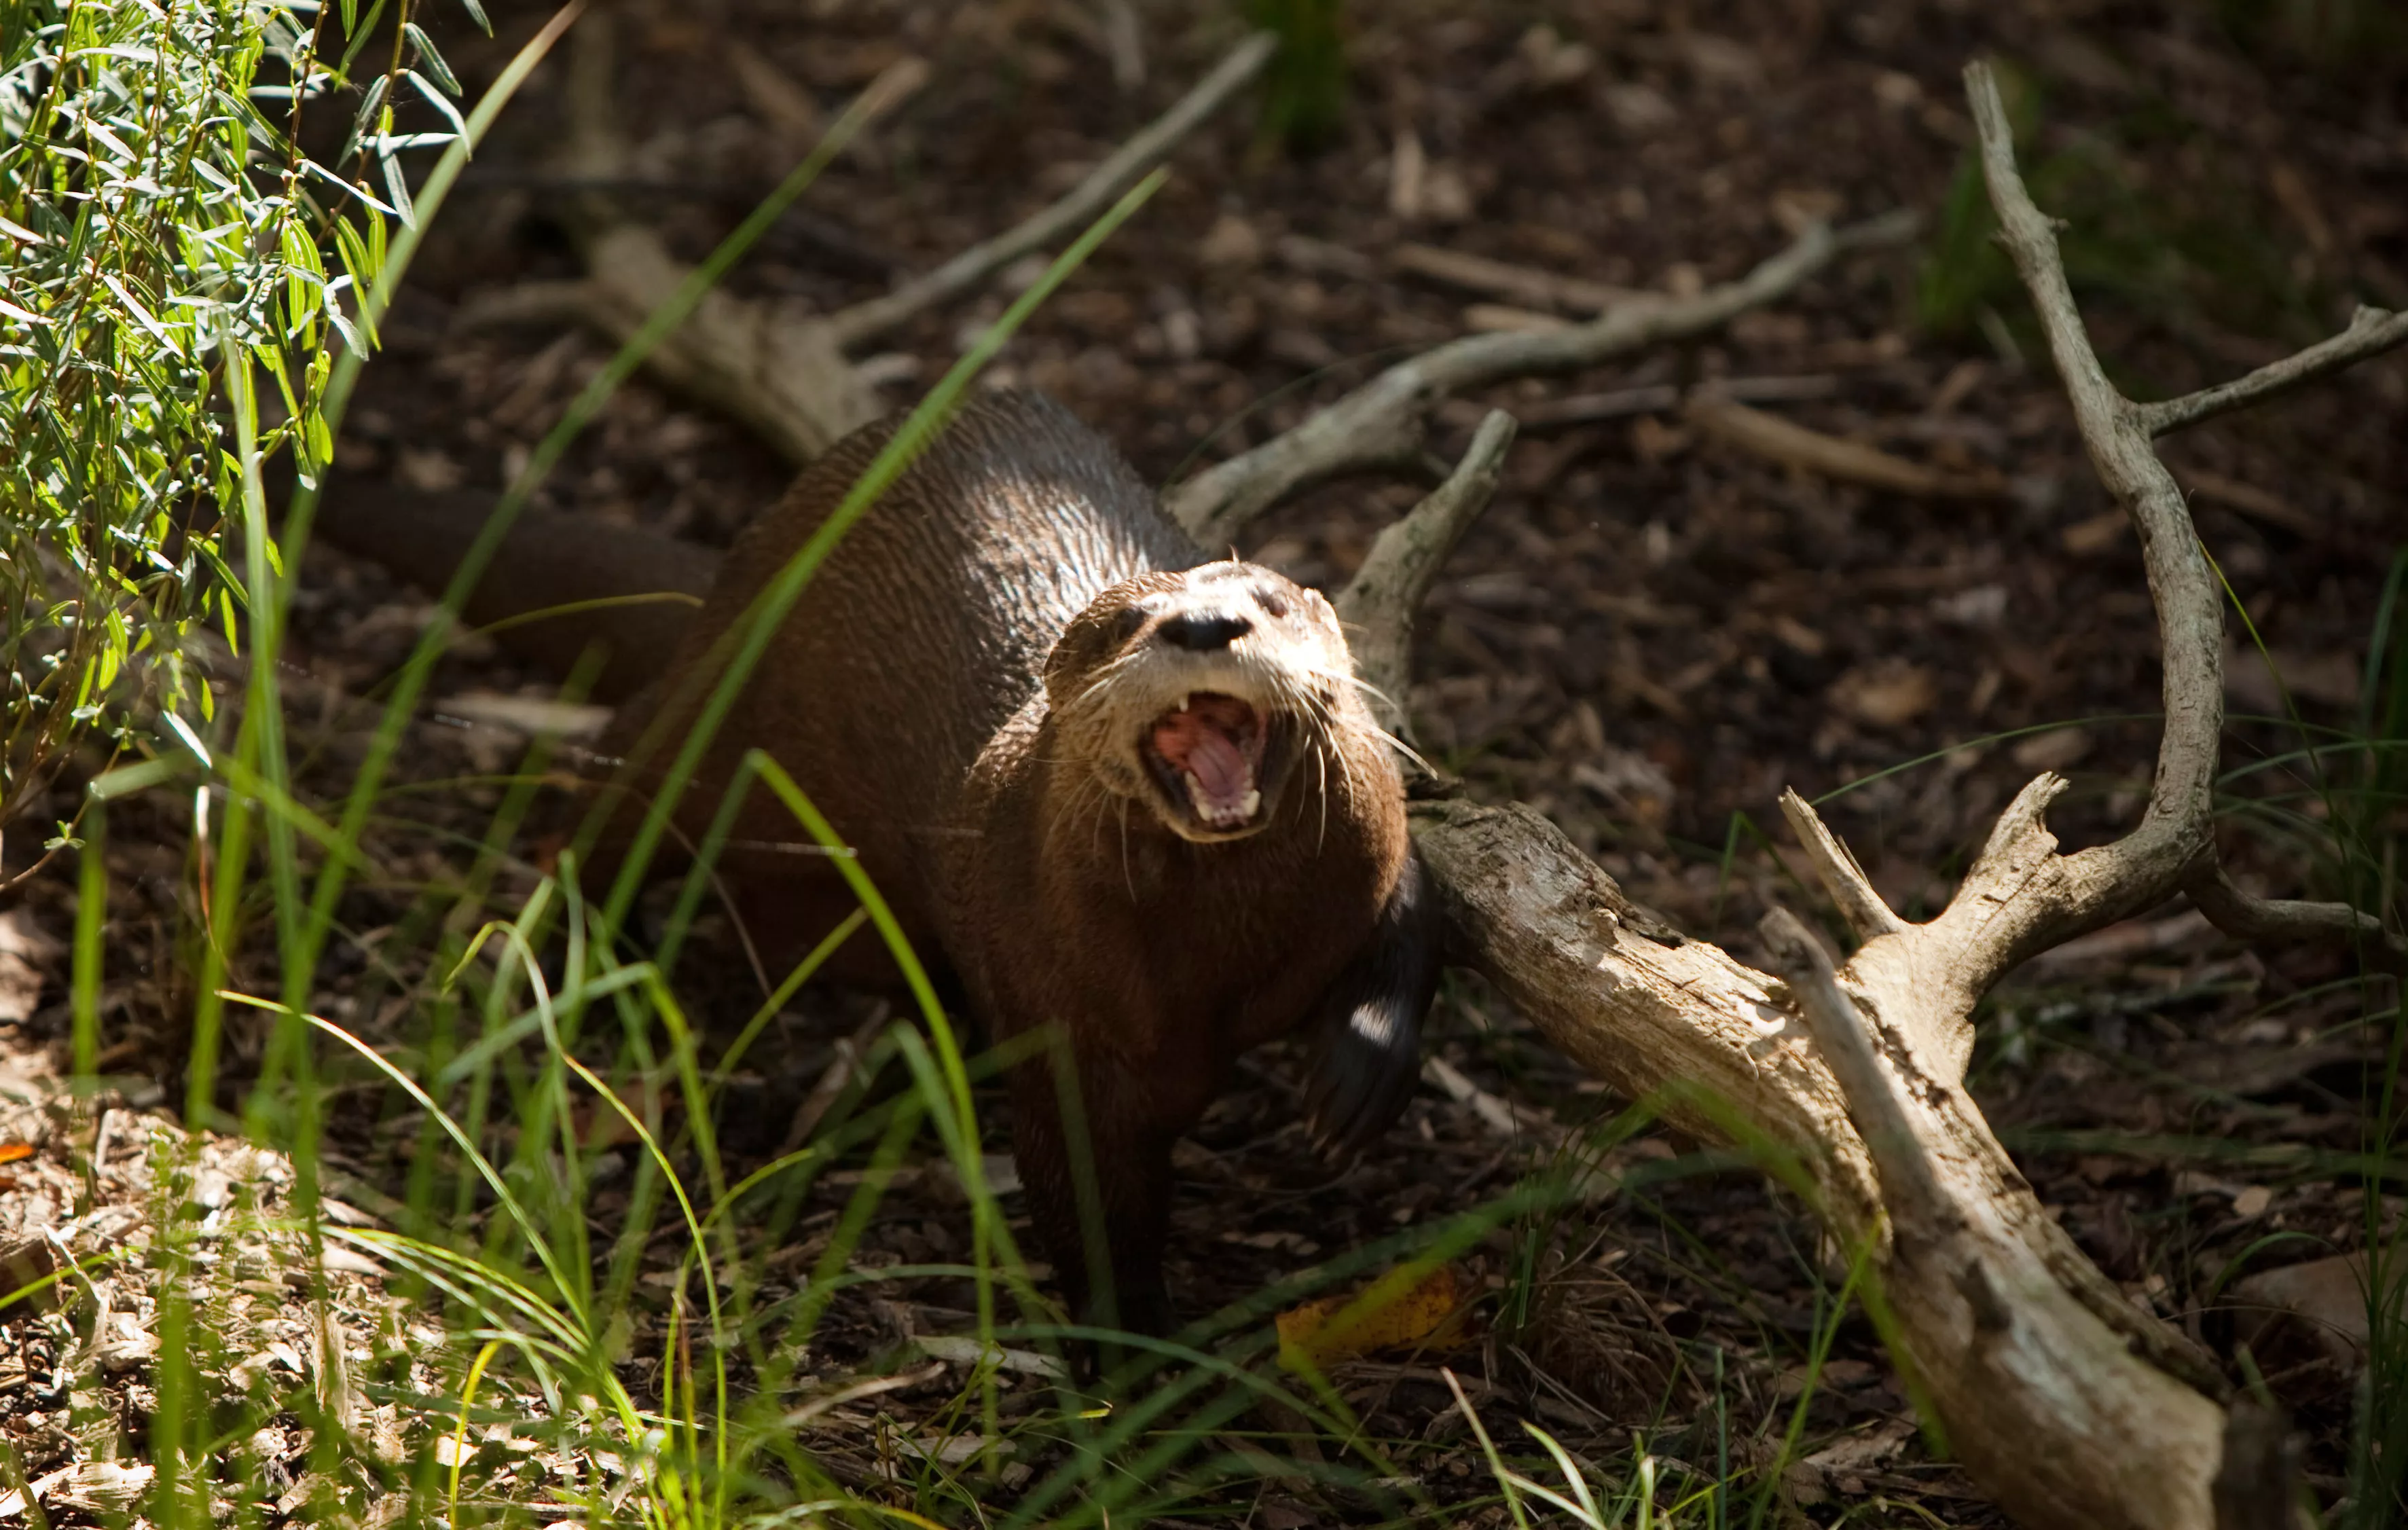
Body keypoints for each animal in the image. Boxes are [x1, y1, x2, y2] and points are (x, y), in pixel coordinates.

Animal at [327, 388, 1435, 1339]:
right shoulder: (1067, 1022)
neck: (1217, 962)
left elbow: (1415, 929)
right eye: (1127, 622)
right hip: (711, 710)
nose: (1205, 624)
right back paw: (570, 951)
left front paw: (1355, 1082)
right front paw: (1132, 1357)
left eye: (1268, 601)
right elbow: (1086, 1198)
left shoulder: (1379, 851)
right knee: (607, 805)